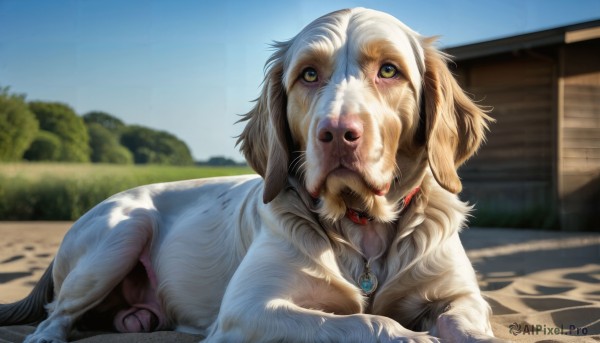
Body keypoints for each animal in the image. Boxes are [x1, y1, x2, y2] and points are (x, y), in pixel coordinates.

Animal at [0, 8, 496, 343]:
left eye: (389, 70)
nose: (337, 133)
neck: (362, 228)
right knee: (55, 314)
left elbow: (465, 322)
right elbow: (362, 321)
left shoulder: (462, 295)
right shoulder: (248, 309)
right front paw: (408, 333)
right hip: (124, 229)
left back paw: (136, 317)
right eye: (308, 74)